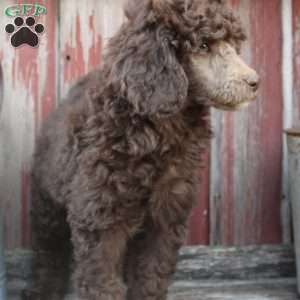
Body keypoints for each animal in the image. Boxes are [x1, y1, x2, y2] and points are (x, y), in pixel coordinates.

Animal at [26, 0, 260, 300]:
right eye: (203, 45)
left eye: (232, 43)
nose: (255, 82)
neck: (158, 129)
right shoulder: (100, 214)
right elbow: (101, 279)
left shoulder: (166, 213)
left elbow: (151, 272)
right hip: (47, 202)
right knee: (48, 253)